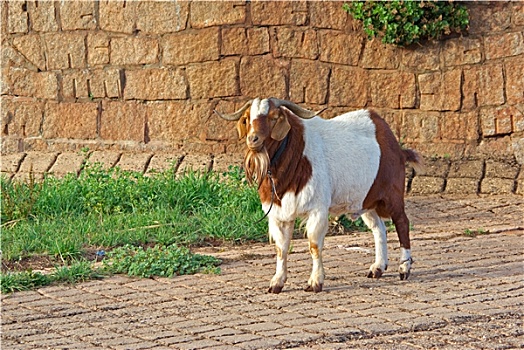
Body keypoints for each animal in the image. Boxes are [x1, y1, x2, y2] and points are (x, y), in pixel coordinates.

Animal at [215, 98, 424, 292]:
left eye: (274, 117)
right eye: (248, 118)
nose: (253, 139)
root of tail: (394, 144)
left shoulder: (317, 209)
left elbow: (314, 245)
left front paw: (315, 282)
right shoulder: (278, 214)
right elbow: (281, 248)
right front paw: (277, 282)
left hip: (392, 194)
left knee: (402, 223)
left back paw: (404, 269)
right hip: (365, 200)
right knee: (378, 228)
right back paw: (377, 268)